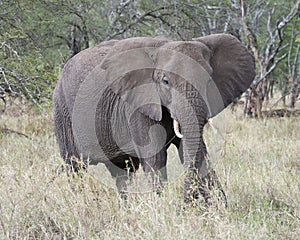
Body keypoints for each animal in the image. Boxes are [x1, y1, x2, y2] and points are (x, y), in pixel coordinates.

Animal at [52, 33, 254, 202]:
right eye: (165, 81)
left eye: (209, 80)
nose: (188, 199)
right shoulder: (137, 104)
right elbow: (155, 157)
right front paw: (164, 207)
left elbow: (197, 150)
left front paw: (219, 207)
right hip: (62, 110)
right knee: (74, 167)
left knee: (122, 172)